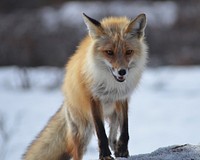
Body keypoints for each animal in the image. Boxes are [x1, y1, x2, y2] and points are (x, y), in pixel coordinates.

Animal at [23, 12, 148, 160]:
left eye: (129, 52)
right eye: (109, 52)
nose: (122, 72)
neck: (111, 86)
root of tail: (66, 101)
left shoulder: (122, 98)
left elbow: (125, 130)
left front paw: (122, 150)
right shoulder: (93, 99)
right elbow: (101, 133)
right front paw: (104, 155)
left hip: (113, 115)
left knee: (112, 135)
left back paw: (116, 148)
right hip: (82, 132)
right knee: (79, 153)